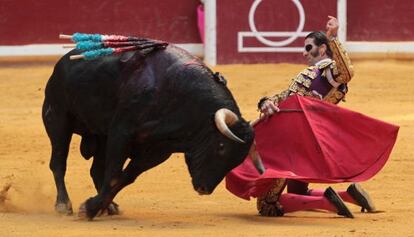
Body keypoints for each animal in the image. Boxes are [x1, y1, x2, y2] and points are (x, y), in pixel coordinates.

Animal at [40, 41, 258, 220]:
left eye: (237, 161)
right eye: (221, 147)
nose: (204, 189)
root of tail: (63, 61)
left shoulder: (157, 152)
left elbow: (124, 178)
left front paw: (93, 207)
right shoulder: (121, 133)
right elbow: (114, 174)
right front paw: (89, 209)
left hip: (101, 136)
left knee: (95, 170)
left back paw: (109, 206)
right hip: (58, 119)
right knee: (58, 163)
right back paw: (63, 204)